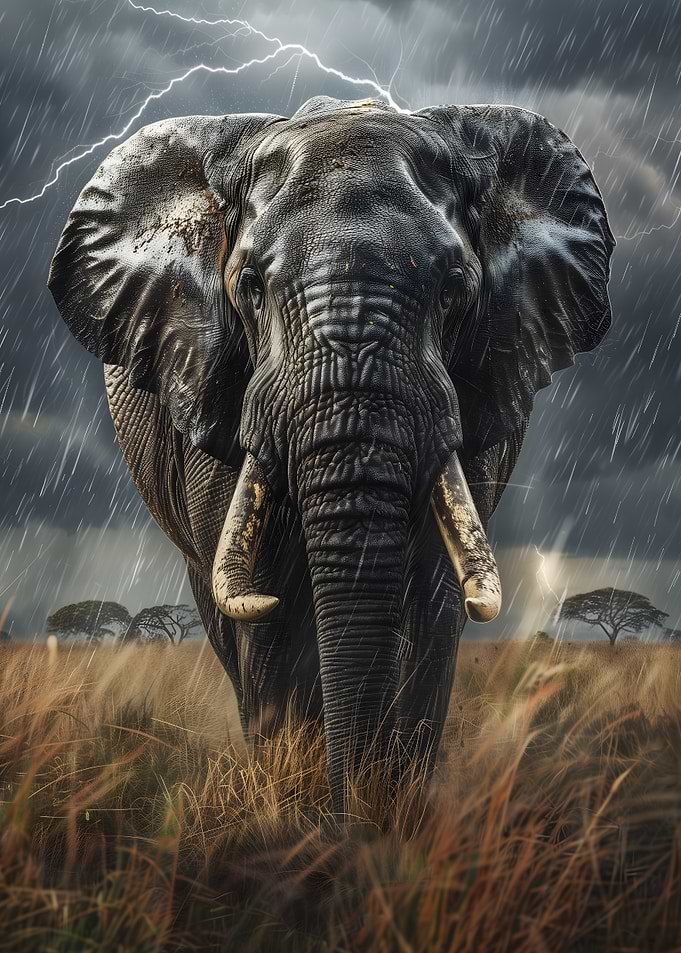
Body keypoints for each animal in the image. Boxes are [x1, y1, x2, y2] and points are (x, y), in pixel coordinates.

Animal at [48, 95, 614, 815]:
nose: (350, 818)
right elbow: (266, 614)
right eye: (249, 285)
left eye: (455, 286)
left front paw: (385, 818)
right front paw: (300, 815)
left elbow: (430, 601)